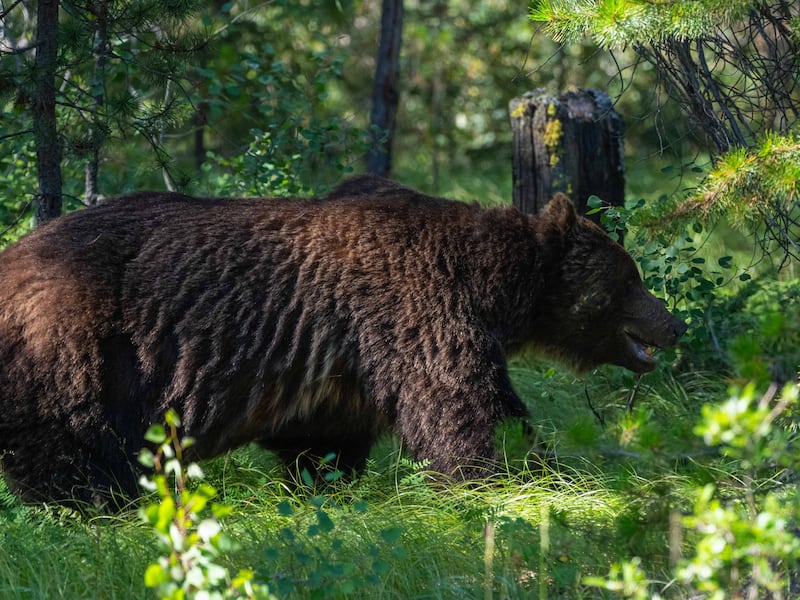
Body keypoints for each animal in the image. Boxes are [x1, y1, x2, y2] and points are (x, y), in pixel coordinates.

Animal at [0, 175, 686, 507]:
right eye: (631, 278)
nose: (674, 323)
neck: (492, 284)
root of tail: (13, 256)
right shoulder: (419, 311)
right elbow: (470, 409)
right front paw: (532, 475)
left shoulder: (343, 361)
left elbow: (322, 438)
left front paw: (324, 484)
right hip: (77, 348)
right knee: (69, 444)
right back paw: (94, 505)